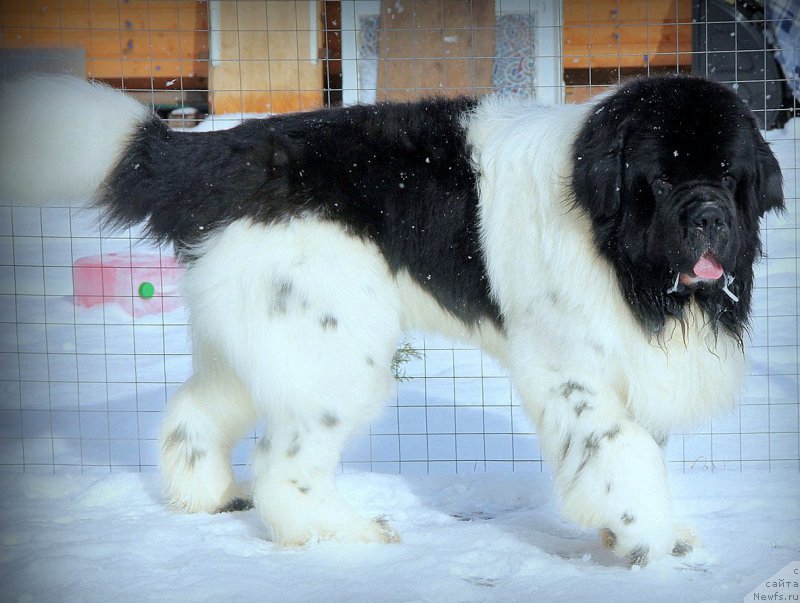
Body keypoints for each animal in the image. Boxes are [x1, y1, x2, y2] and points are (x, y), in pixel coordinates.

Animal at [0, 74, 780, 568]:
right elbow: (623, 454)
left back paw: (209, 497)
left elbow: (632, 454)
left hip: (262, 332)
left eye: (728, 174)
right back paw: (338, 533)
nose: (709, 218)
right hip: (337, 347)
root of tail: (225, 151)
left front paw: (648, 533)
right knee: (285, 461)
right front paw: (648, 541)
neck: (614, 242)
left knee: (194, 413)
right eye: (663, 178)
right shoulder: (574, 373)